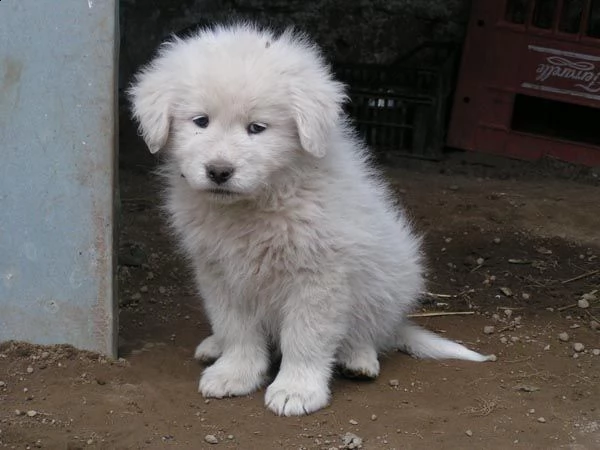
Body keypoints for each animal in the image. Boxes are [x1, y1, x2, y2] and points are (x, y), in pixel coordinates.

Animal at [130, 22, 492, 416]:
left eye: (257, 128)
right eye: (200, 122)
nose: (219, 171)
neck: (259, 201)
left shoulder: (319, 276)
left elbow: (306, 336)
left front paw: (297, 389)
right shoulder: (221, 274)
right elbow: (236, 328)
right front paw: (234, 373)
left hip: (389, 281)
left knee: (370, 331)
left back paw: (358, 359)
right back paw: (214, 346)